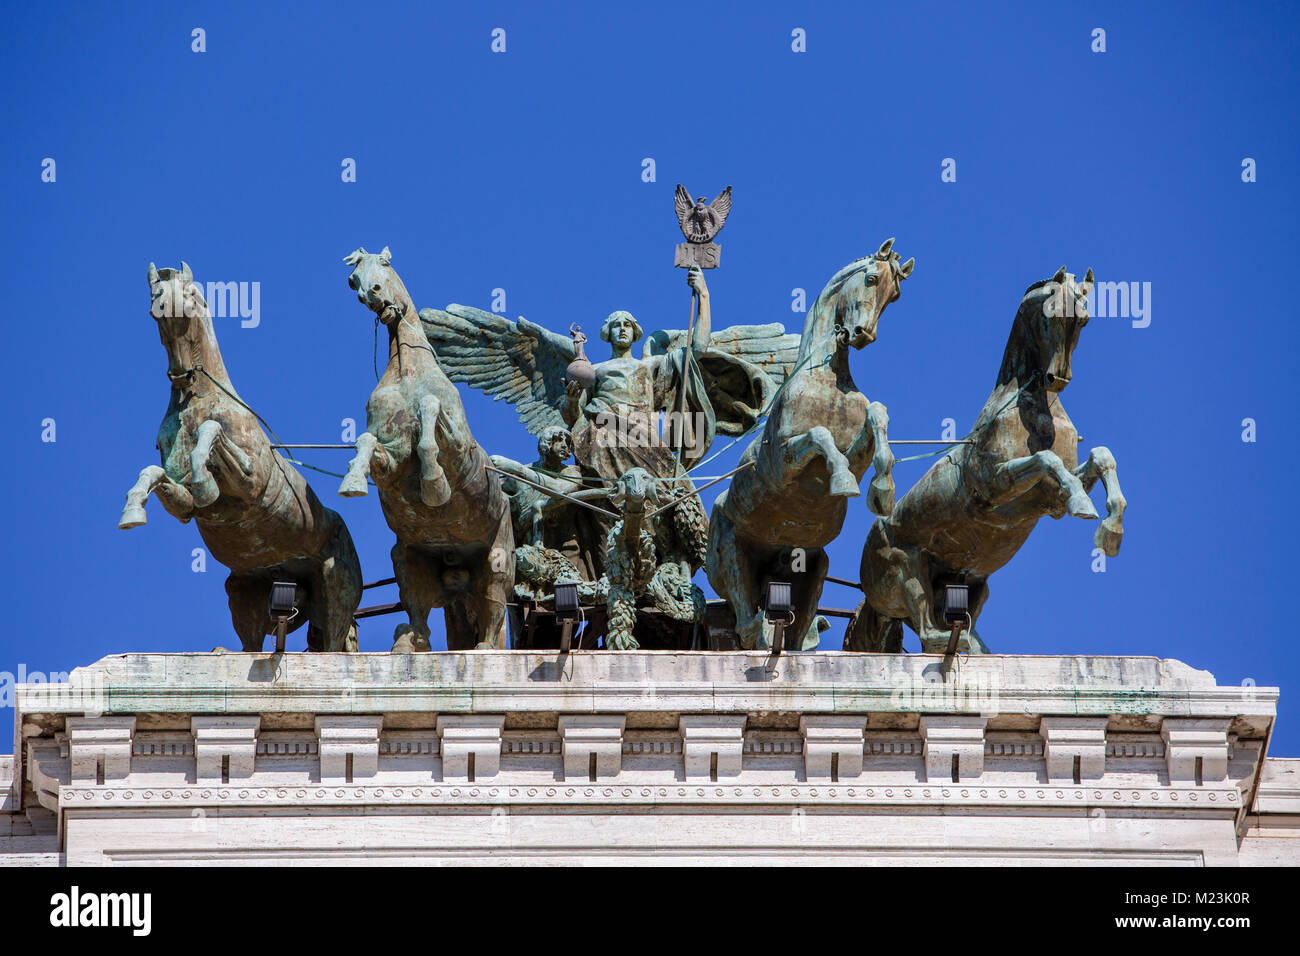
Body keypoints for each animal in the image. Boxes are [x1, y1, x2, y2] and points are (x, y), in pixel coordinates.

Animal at [340, 248, 512, 650]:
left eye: (384, 265)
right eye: (353, 280)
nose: (373, 294)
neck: (408, 373)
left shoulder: (460, 448)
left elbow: (431, 416)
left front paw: (434, 484)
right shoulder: (391, 456)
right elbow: (368, 443)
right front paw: (352, 482)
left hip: (496, 560)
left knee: (493, 610)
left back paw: (484, 647)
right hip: (407, 558)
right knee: (418, 610)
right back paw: (409, 640)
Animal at [702, 239, 915, 650]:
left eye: (894, 295)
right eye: (870, 279)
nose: (862, 333)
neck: (826, 380)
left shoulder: (858, 451)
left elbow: (877, 417)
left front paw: (883, 491)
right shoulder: (784, 462)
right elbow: (820, 436)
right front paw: (844, 480)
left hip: (813, 569)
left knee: (794, 632)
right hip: (732, 557)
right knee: (749, 625)